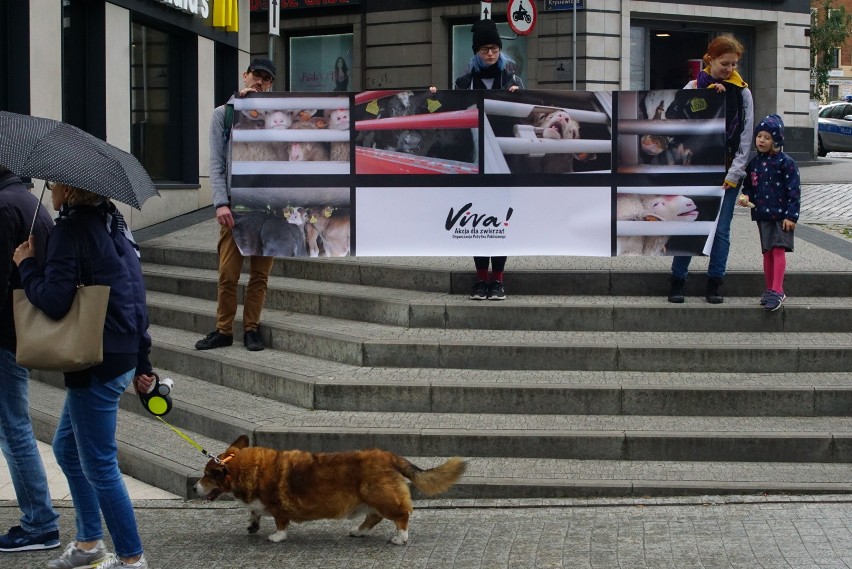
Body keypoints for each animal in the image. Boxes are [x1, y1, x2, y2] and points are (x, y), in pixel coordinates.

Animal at [194, 434, 466, 544]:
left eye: (207, 475)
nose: (195, 487)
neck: (248, 468)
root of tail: (391, 457)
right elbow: (254, 511)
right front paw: (252, 525)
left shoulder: (279, 507)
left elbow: (280, 523)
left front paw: (276, 537)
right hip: (372, 499)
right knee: (373, 517)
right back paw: (358, 531)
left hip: (382, 497)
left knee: (402, 515)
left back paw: (400, 538)